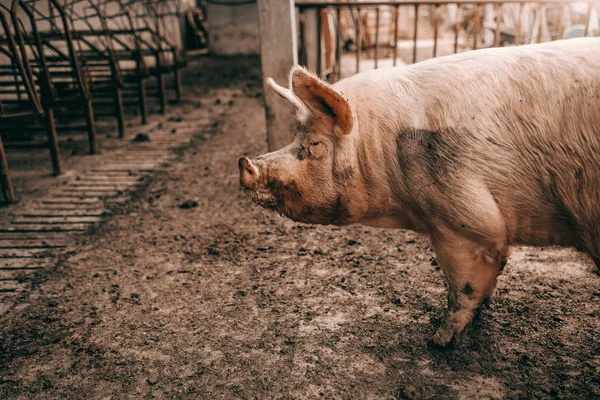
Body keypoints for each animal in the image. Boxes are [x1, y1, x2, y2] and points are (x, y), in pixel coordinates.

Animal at [239, 38, 600, 346]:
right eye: (294, 137)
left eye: (314, 145)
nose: (244, 163)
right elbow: (495, 269)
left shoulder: (463, 221)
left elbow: (463, 285)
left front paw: (438, 341)